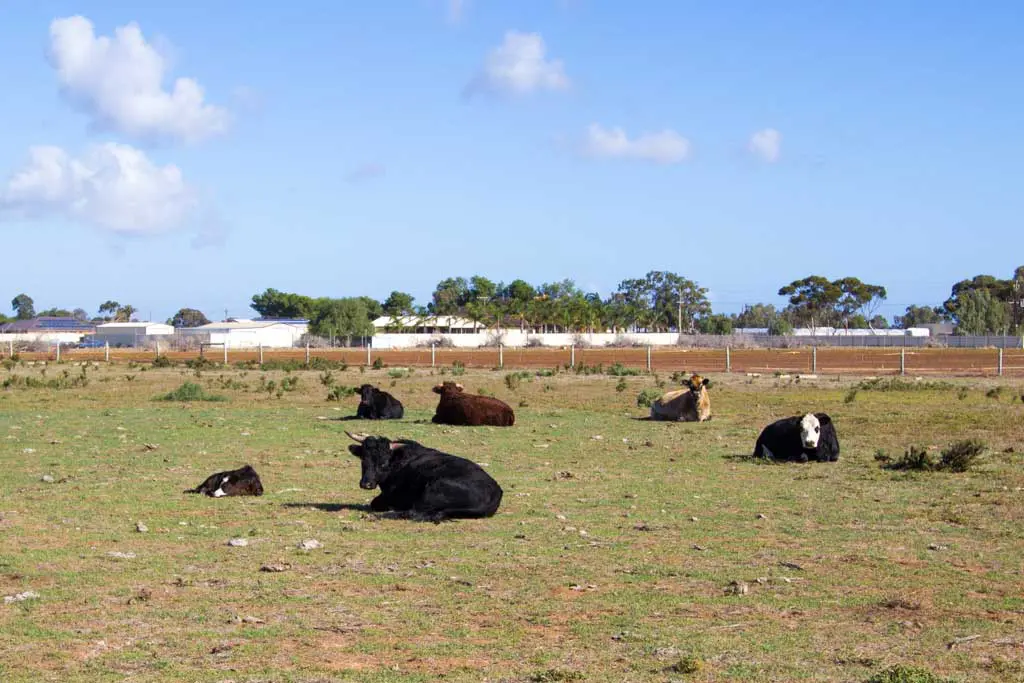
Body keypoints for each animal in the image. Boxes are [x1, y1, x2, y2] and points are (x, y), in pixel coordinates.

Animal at [346, 432, 501, 524]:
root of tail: (496, 492)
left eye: (383, 462)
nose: (366, 484)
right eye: (363, 459)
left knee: (413, 513)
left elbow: (376, 503)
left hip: (432, 491)